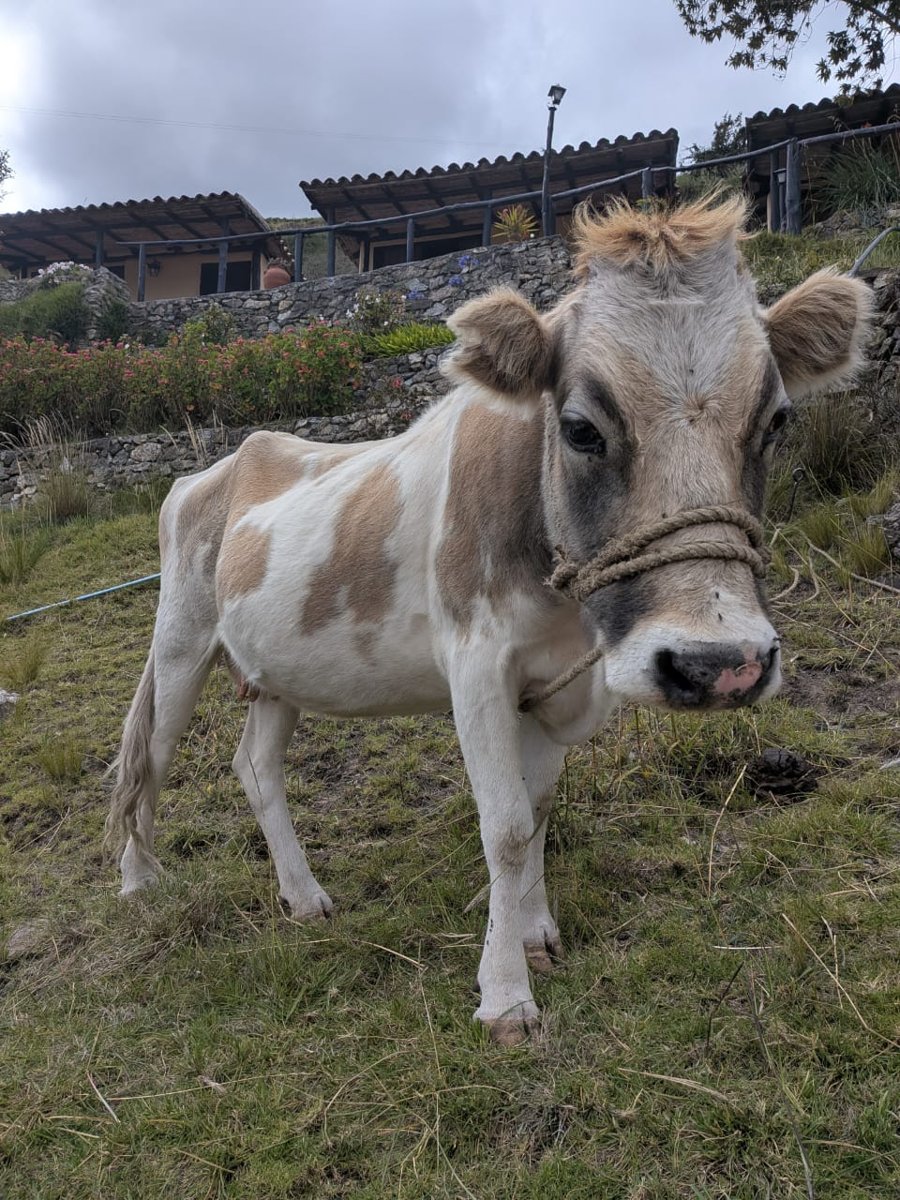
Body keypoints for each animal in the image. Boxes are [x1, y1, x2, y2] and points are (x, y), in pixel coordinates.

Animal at [106, 195, 872, 1043]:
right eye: (580, 428)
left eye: (775, 422)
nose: (719, 665)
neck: (566, 608)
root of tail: (221, 463)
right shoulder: (476, 662)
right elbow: (503, 826)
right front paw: (506, 998)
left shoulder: (559, 681)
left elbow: (535, 813)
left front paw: (537, 935)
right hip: (180, 641)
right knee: (150, 756)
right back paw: (139, 879)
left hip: (276, 668)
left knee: (255, 765)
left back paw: (304, 897)